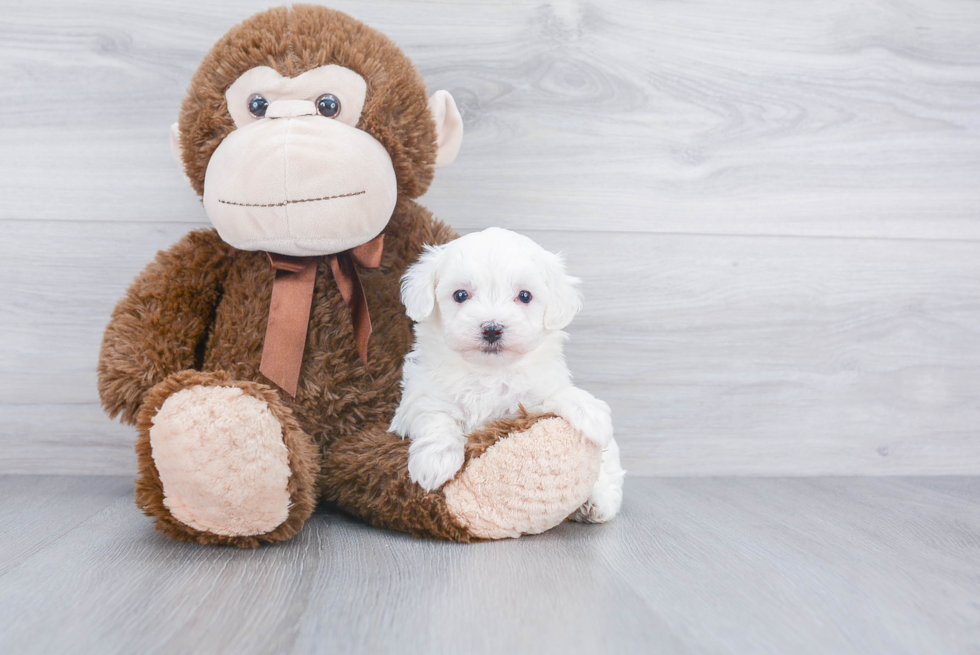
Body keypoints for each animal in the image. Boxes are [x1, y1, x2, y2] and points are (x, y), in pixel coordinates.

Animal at [388, 228, 624, 524]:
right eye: (460, 294)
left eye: (524, 296)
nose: (492, 328)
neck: (489, 372)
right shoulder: (418, 400)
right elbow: (435, 418)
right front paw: (435, 461)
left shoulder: (531, 399)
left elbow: (558, 394)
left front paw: (592, 414)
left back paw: (596, 503)